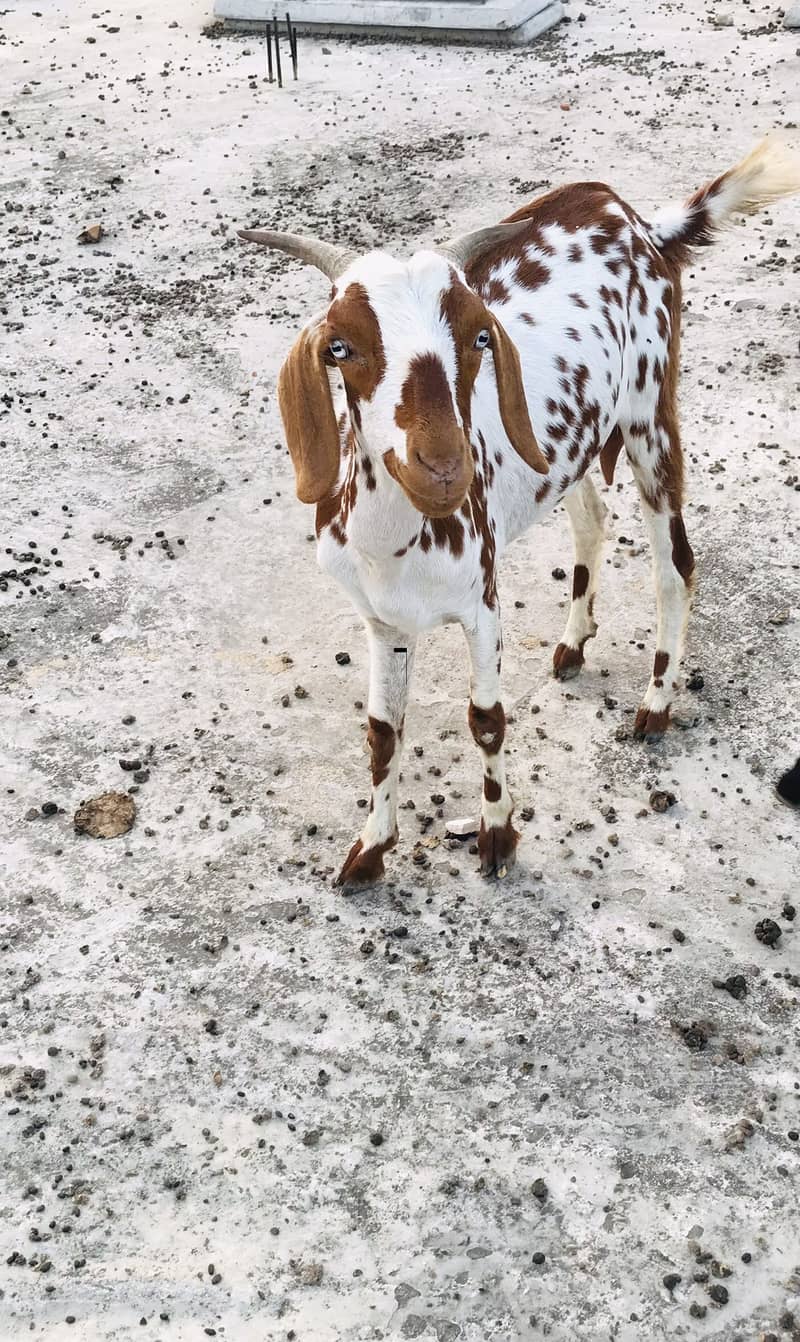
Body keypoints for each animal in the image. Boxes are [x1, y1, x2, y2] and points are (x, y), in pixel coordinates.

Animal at [239, 139, 800, 887]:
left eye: (479, 336)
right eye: (340, 347)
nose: (444, 468)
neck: (393, 543)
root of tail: (641, 224)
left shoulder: (482, 605)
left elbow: (486, 718)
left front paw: (498, 838)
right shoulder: (381, 620)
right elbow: (383, 732)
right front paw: (371, 848)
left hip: (650, 416)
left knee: (675, 564)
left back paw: (656, 704)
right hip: (574, 446)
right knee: (592, 517)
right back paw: (574, 640)